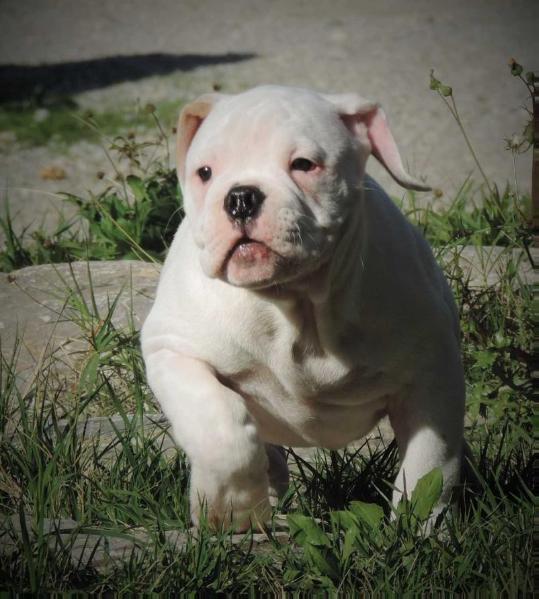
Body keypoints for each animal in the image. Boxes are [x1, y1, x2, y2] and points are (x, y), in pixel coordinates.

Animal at [141, 84, 466, 528]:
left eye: (303, 165)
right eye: (204, 172)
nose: (240, 197)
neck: (293, 303)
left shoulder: (432, 375)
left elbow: (429, 465)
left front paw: (419, 531)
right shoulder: (171, 349)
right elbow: (221, 430)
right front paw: (232, 511)